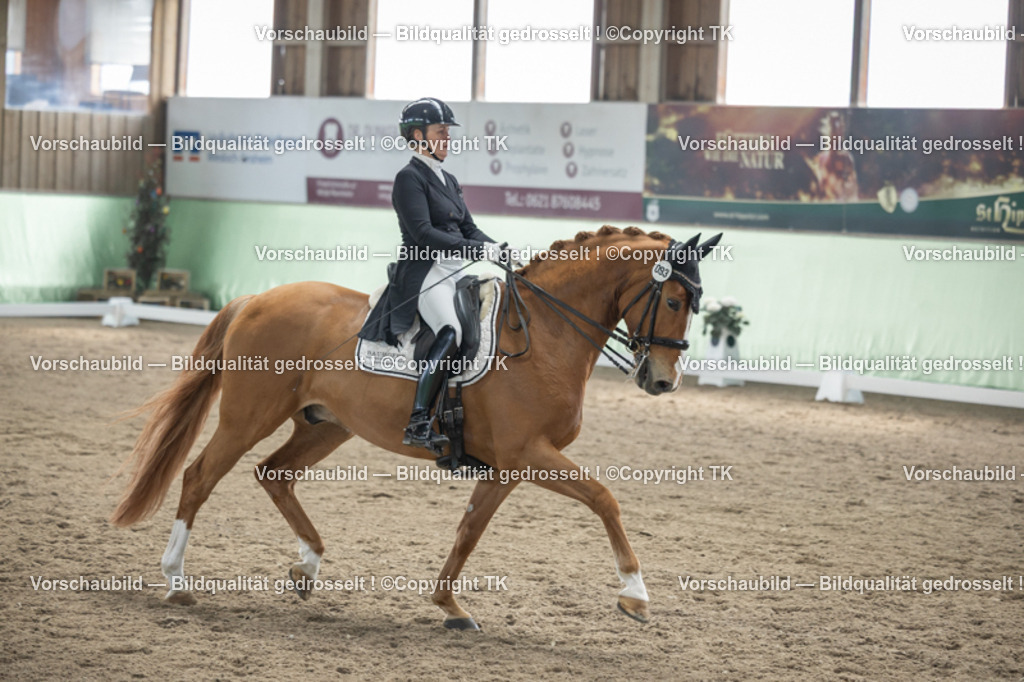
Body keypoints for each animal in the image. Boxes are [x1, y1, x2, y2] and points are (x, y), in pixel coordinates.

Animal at [111, 225, 722, 630]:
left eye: (694, 303)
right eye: (673, 299)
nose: (663, 381)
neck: (546, 334)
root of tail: (257, 298)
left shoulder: (506, 466)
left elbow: (469, 530)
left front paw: (450, 607)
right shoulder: (529, 453)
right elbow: (604, 498)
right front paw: (635, 594)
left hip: (326, 425)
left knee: (274, 474)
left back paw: (307, 567)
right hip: (249, 416)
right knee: (200, 477)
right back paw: (177, 583)